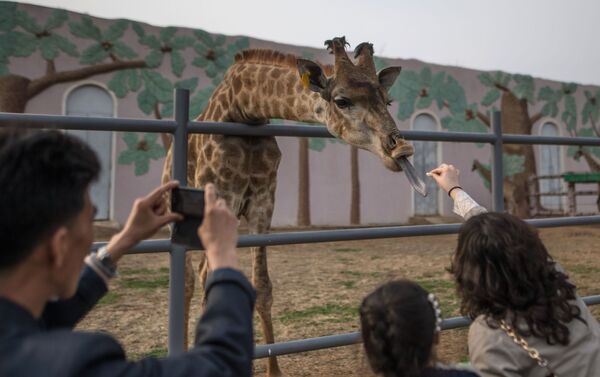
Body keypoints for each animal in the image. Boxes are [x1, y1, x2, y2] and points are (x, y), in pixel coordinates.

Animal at [164, 36, 418, 374]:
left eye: (387, 101)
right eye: (342, 101)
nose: (400, 149)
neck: (244, 110)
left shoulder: (262, 201)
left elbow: (263, 286)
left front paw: (274, 370)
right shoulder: (220, 197)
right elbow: (212, 280)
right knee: (190, 277)